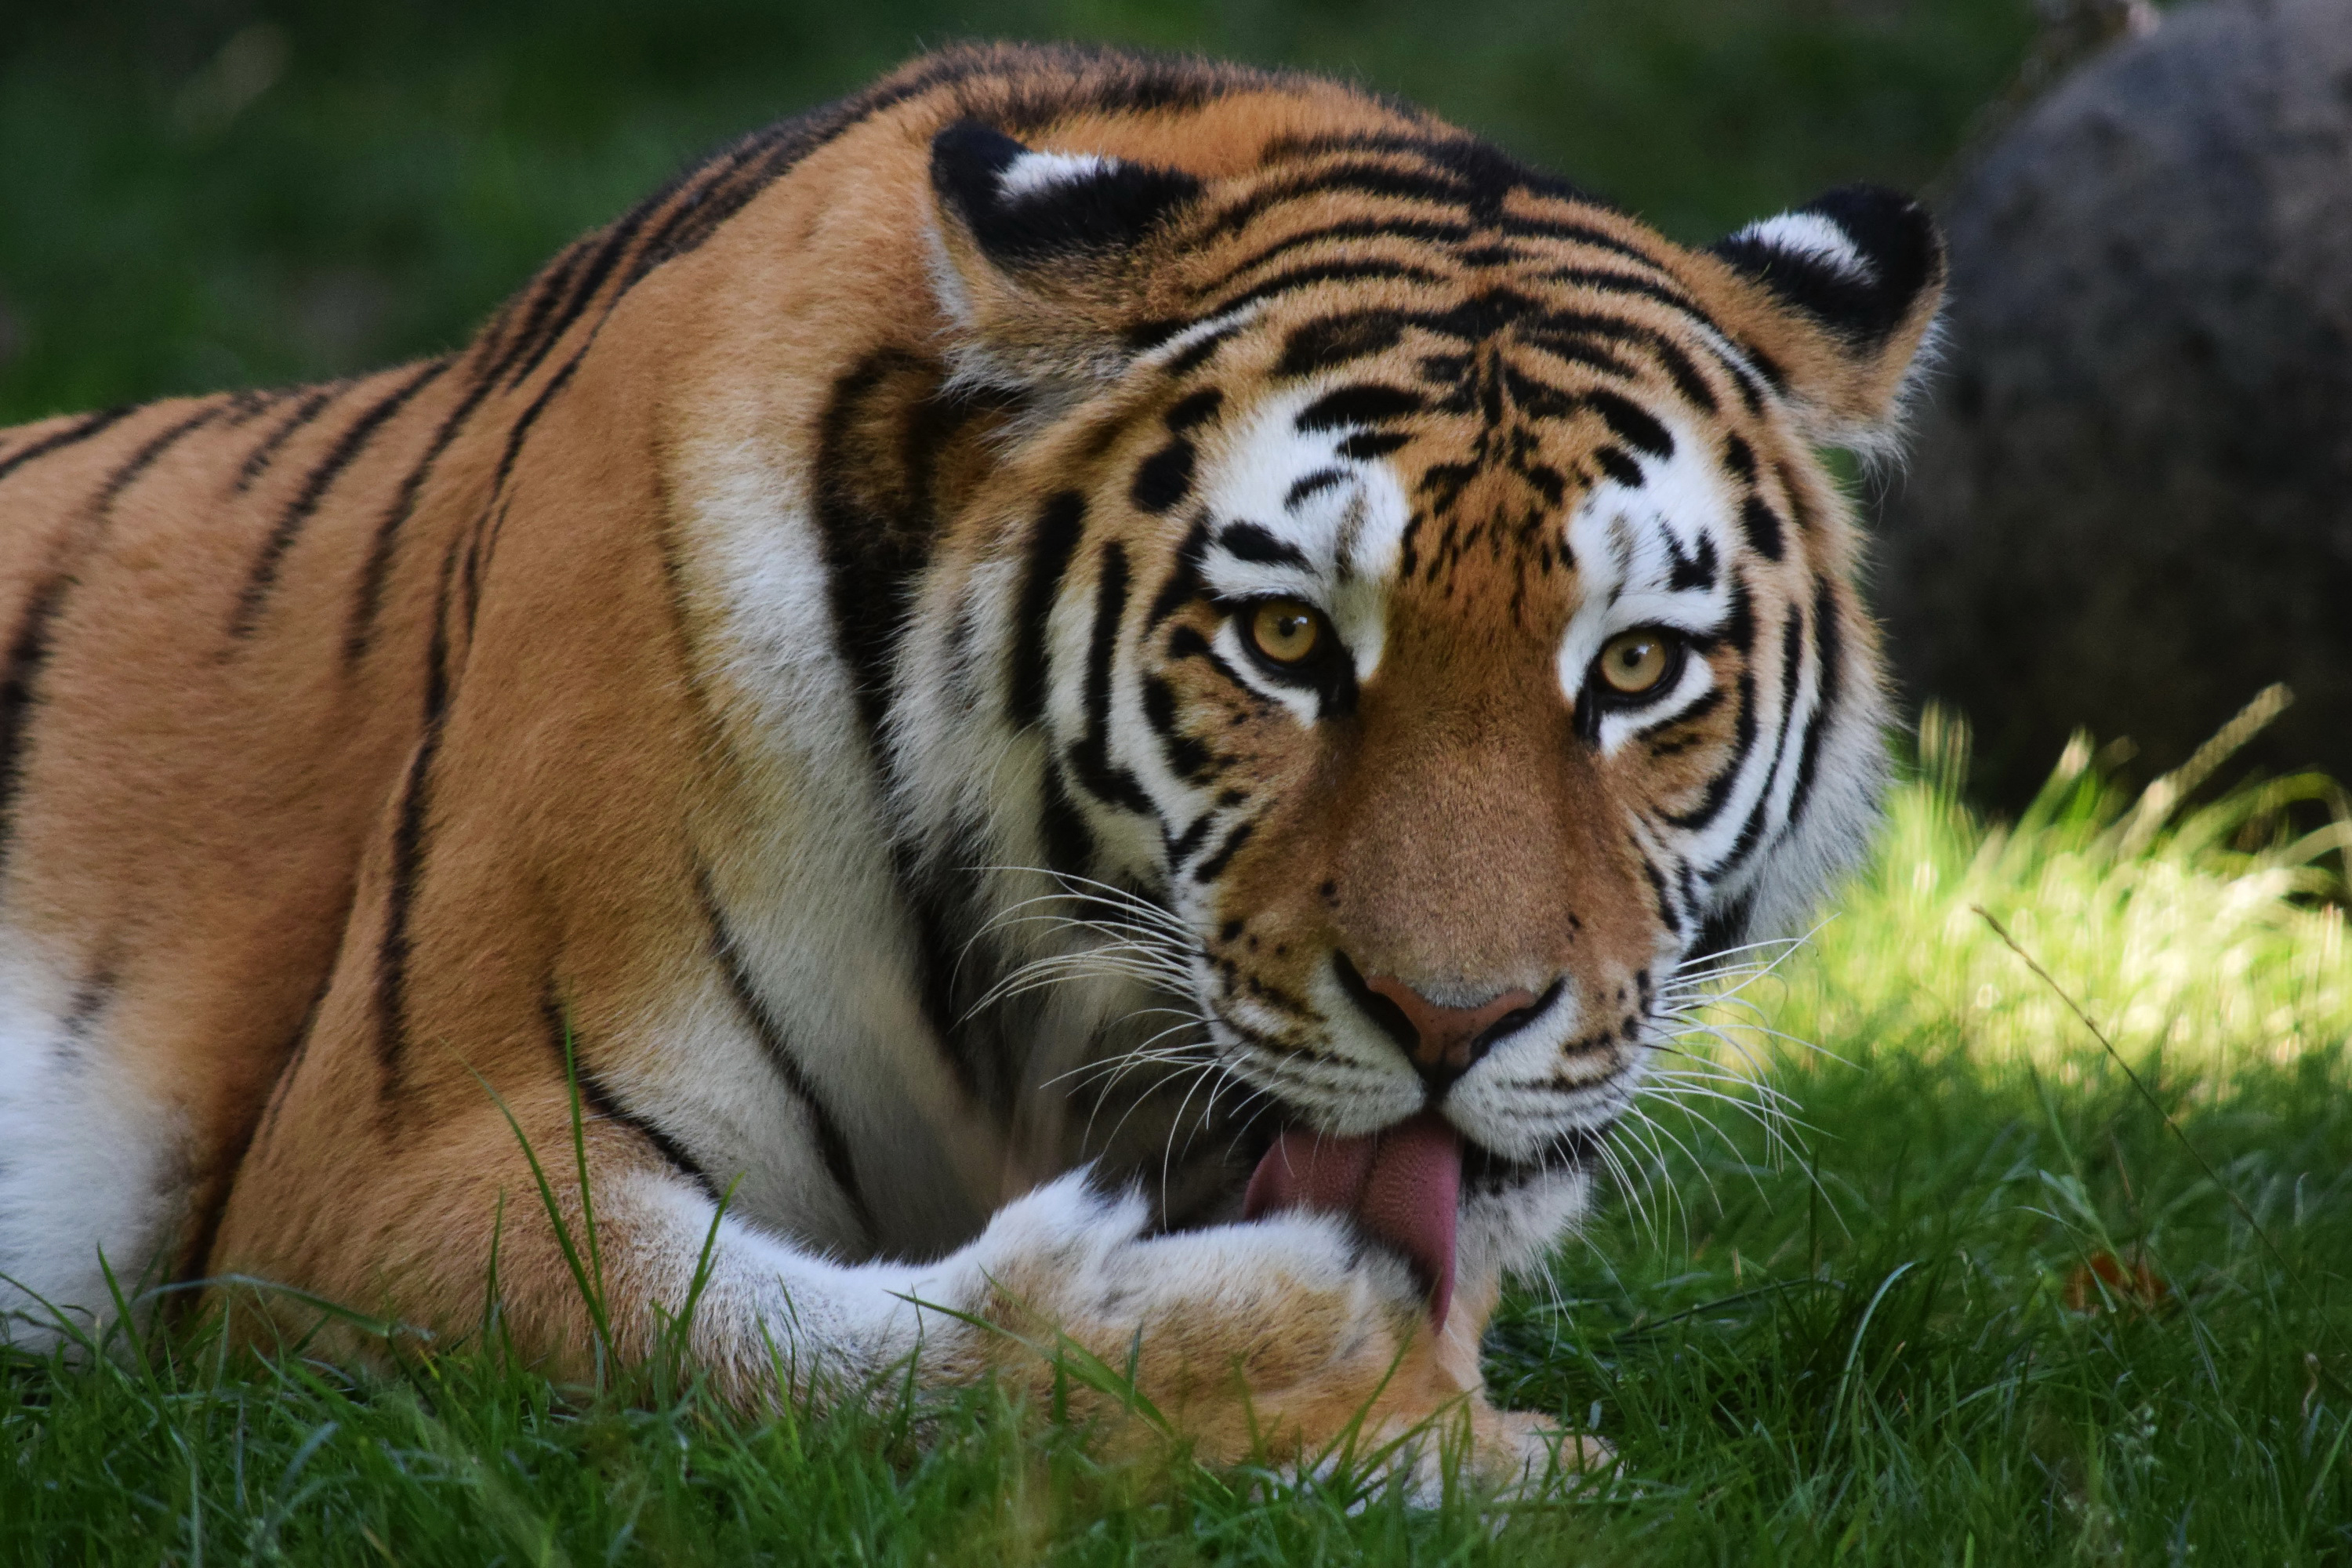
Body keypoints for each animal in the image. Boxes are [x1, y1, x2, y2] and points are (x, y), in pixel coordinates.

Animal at [0, 39, 1947, 1486]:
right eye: (1288, 639)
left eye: (1634, 668)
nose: (1456, 1023)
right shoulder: (392, 1175)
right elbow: (770, 1344)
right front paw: (1323, 1363)